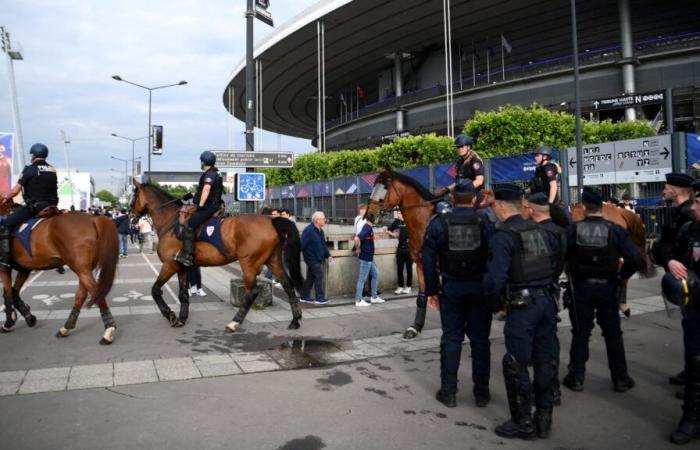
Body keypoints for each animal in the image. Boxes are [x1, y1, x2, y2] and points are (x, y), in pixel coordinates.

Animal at [0, 200, 119, 344]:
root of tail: (92, 218)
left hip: (82, 270)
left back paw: (108, 330)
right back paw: (66, 328)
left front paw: (9, 322)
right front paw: (28, 316)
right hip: (84, 269)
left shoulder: (5, 268)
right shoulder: (24, 269)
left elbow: (8, 294)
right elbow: (14, 292)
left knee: (96, 292)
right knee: (81, 295)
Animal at [131, 181, 304, 332]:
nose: (131, 217)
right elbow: (183, 294)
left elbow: (155, 290)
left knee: (253, 291)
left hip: (249, 264)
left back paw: (235, 322)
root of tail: (271, 221)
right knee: (288, 285)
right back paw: (295, 320)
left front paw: (171, 316)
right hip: (273, 261)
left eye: (134, 196)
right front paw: (182, 318)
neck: (171, 222)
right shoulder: (182, 267)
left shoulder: (170, 265)